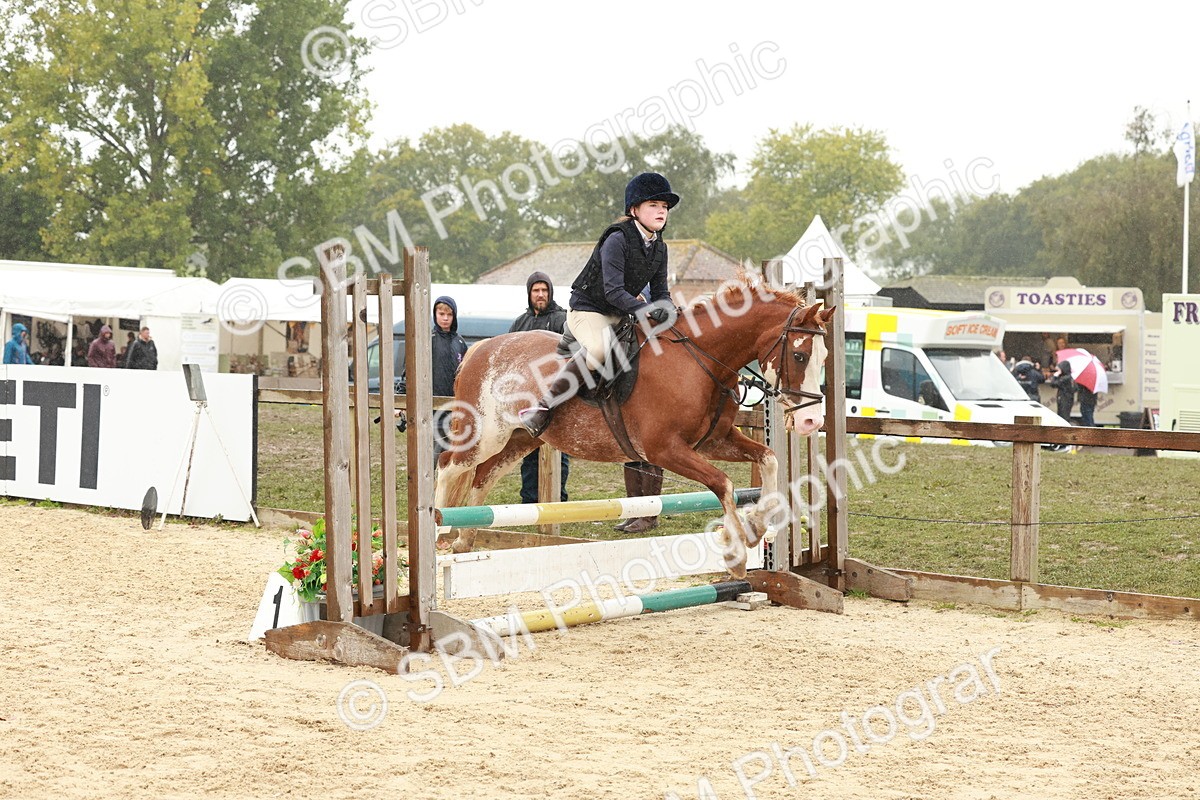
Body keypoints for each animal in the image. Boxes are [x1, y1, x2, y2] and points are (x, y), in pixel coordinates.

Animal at [433, 276, 834, 578]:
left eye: (825, 357)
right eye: (799, 355)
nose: (811, 421)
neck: (700, 360)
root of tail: (481, 348)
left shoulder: (714, 441)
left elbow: (769, 459)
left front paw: (756, 526)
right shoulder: (665, 449)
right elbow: (723, 483)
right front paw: (736, 551)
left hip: (519, 439)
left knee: (482, 477)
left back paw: (464, 541)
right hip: (485, 433)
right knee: (449, 467)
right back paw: (438, 531)